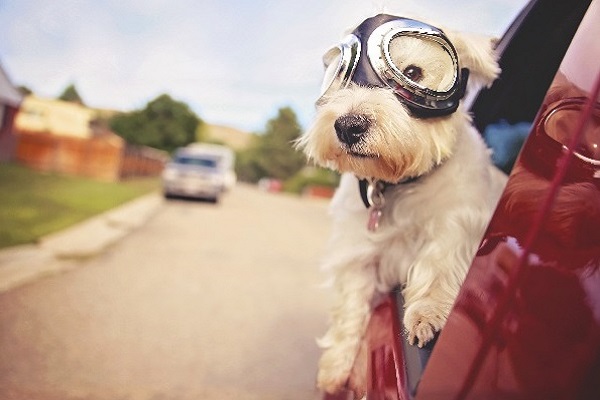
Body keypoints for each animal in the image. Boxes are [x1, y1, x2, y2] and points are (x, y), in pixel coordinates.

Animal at [298, 14, 508, 396]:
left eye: (413, 72)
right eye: (340, 76)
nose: (348, 126)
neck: (399, 183)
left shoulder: (458, 222)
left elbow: (438, 261)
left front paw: (427, 313)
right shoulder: (358, 254)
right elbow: (350, 306)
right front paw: (335, 367)